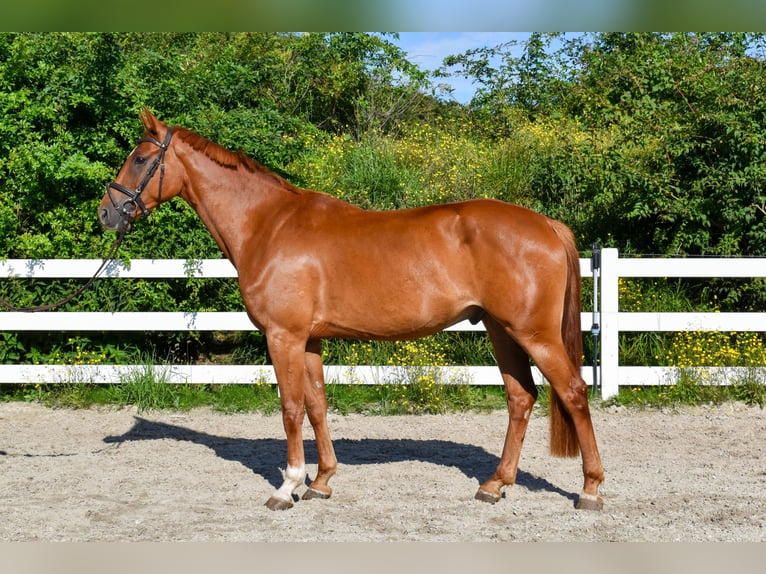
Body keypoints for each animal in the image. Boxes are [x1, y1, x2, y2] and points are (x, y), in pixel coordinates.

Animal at [99, 108, 604, 512]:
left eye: (140, 159)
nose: (107, 212)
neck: (268, 224)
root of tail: (547, 224)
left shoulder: (283, 336)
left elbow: (290, 408)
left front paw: (287, 487)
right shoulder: (309, 339)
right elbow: (317, 405)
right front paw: (320, 482)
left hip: (535, 334)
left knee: (574, 392)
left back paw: (590, 490)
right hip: (502, 331)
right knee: (521, 398)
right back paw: (495, 485)